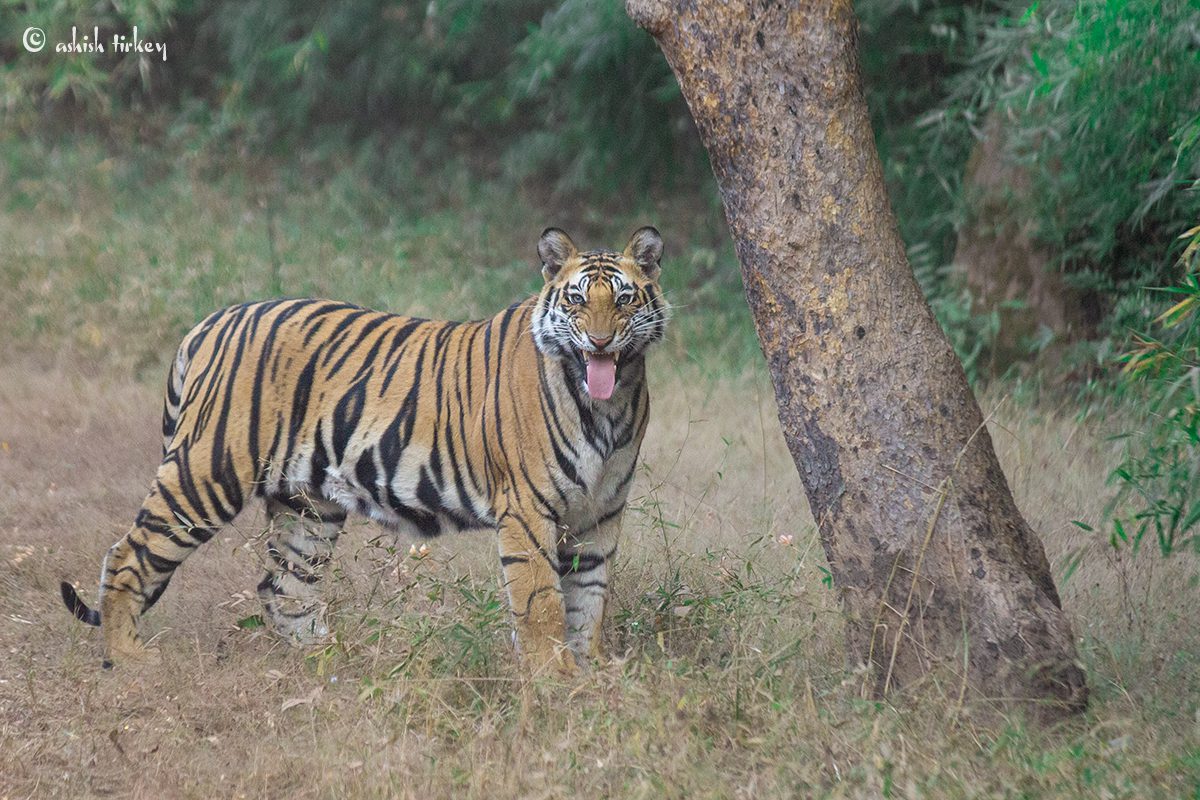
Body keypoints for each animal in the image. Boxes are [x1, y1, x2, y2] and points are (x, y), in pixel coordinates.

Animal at [60, 226, 672, 676]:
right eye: (576, 300)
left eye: (623, 299)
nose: (599, 341)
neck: (608, 404)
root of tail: (212, 320)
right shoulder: (528, 509)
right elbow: (542, 599)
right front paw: (554, 677)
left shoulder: (600, 513)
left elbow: (588, 597)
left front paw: (591, 671)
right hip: (207, 472)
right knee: (128, 553)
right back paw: (129, 658)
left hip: (306, 504)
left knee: (282, 587)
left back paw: (331, 661)